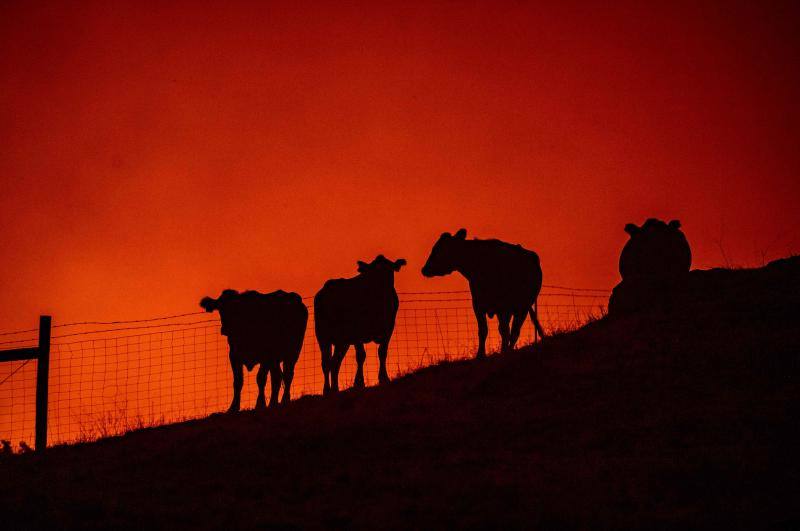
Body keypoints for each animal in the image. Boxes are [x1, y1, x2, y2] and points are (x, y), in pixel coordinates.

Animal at [314, 256, 406, 396]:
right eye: (372, 272)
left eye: (389, 271)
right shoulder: (357, 331)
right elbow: (361, 355)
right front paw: (359, 383)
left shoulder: (389, 328)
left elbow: (382, 352)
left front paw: (383, 378)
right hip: (323, 335)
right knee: (326, 362)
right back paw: (327, 390)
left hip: (342, 342)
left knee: (335, 363)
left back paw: (335, 389)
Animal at [418, 230, 544, 360]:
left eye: (439, 249)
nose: (424, 269)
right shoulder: (478, 304)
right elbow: (483, 330)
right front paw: (480, 354)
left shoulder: (503, 307)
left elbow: (504, 330)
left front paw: (503, 352)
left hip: (522, 307)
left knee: (514, 331)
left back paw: (508, 350)